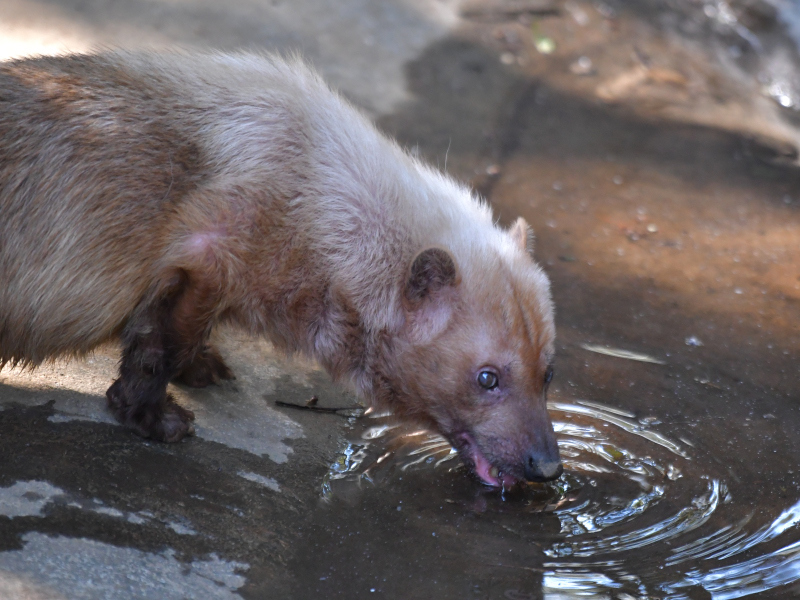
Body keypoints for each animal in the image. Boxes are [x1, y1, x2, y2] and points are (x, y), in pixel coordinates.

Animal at [0, 51, 564, 488]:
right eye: (487, 378)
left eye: (550, 372)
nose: (548, 468)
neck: (312, 195)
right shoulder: (203, 261)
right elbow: (158, 350)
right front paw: (150, 417)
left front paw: (199, 367)